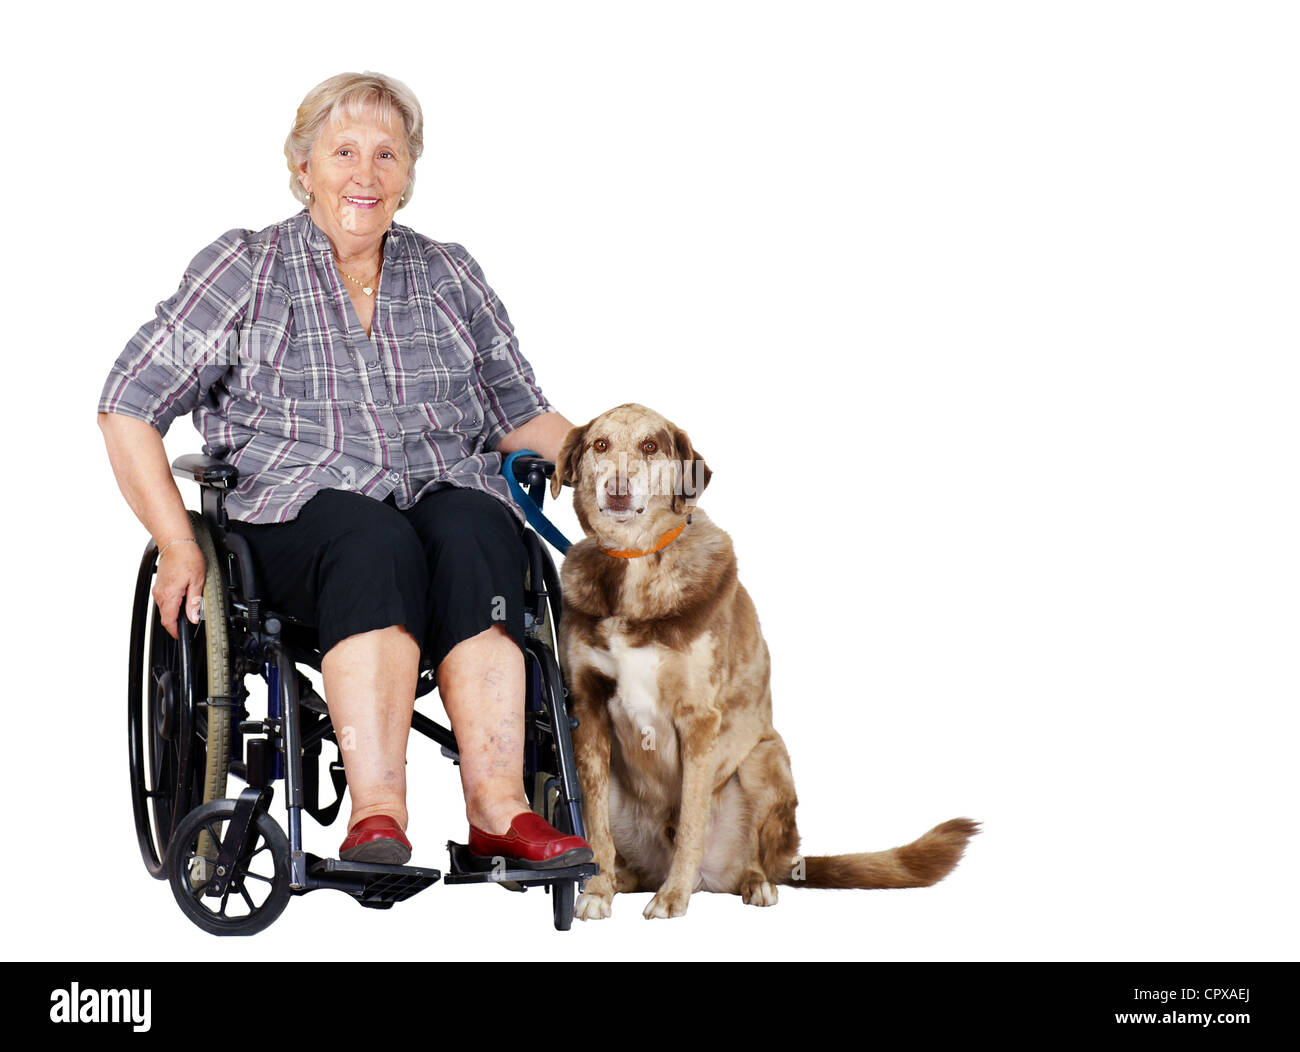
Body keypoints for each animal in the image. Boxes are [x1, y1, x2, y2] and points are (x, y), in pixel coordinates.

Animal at [548, 403, 977, 920]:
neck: (637, 562)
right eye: (600, 445)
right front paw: (595, 890)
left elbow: (690, 822)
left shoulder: (699, 720)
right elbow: (592, 823)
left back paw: (751, 884)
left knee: (752, 858)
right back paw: (623, 880)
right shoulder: (586, 711)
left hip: (764, 759)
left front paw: (672, 899)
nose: (616, 487)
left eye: (650, 446)